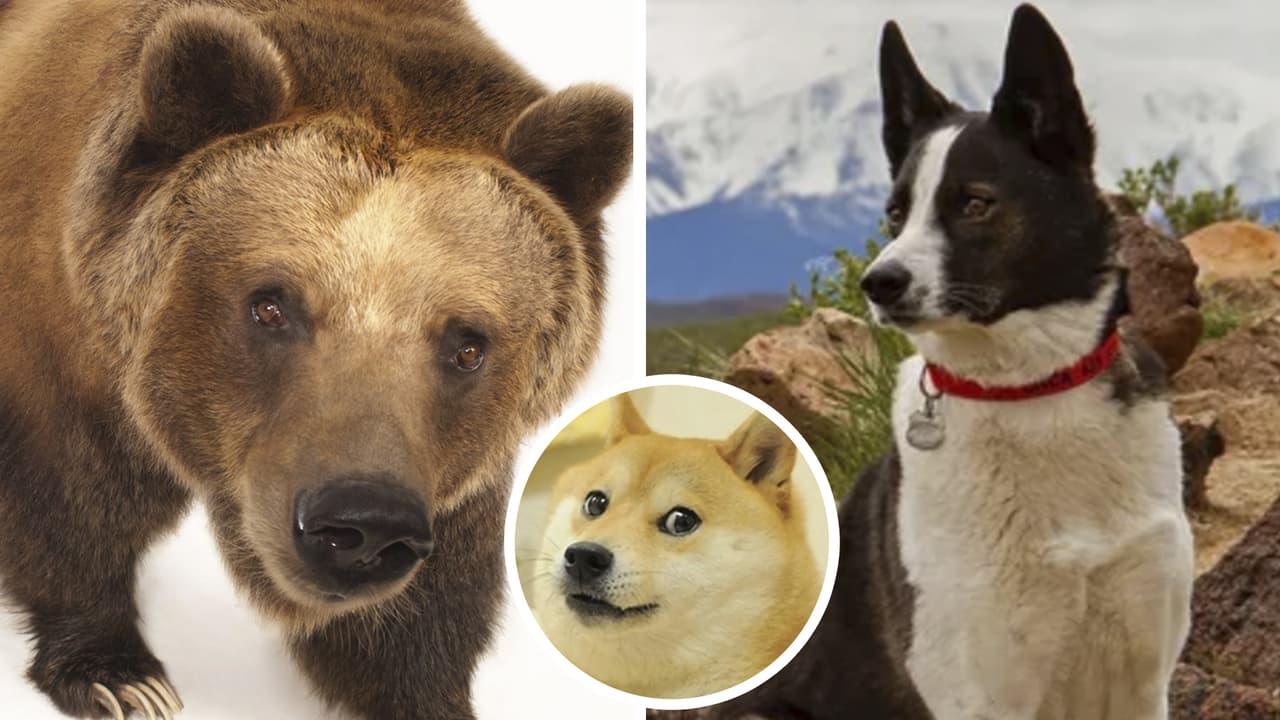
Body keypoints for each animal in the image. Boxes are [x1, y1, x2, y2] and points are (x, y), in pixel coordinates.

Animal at [0, 1, 631, 718]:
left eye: (468, 344)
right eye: (271, 305)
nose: (362, 526)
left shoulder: (449, 470)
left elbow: (416, 615)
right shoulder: (65, 349)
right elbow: (71, 500)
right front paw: (120, 676)